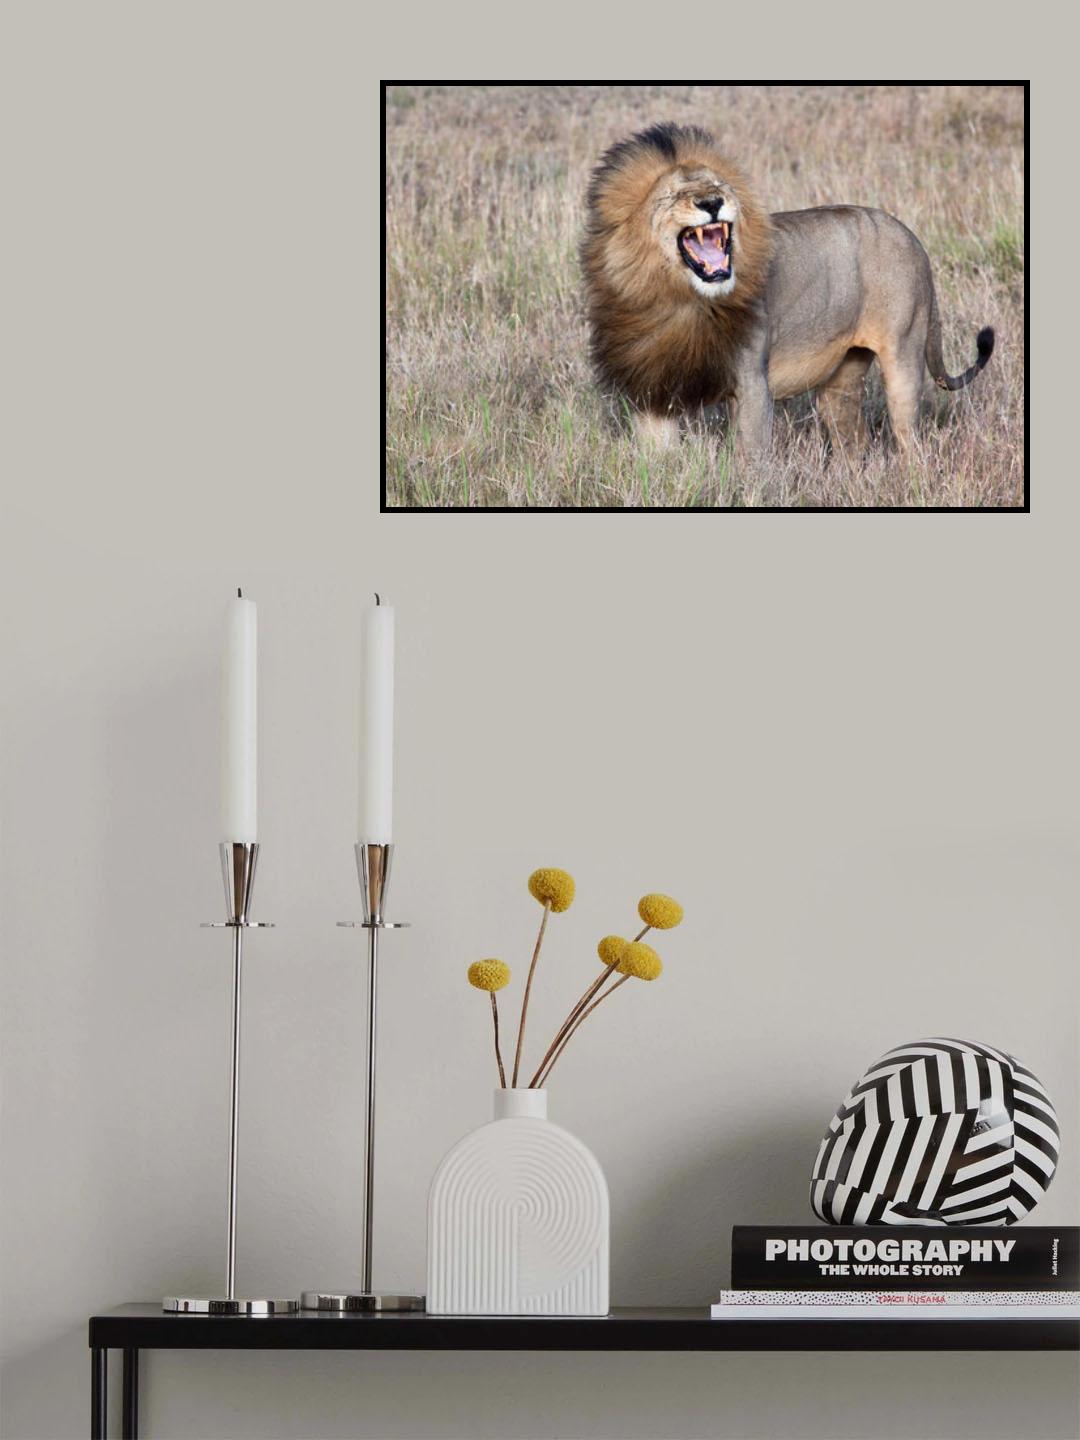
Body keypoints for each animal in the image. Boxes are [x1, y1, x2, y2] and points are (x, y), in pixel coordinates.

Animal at [581, 123, 994, 457]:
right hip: (842, 379)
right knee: (854, 442)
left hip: (903, 355)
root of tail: (911, 236)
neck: (678, 298)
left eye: (717, 187)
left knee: (911, 441)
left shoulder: (752, 384)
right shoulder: (651, 392)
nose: (712, 202)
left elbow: (751, 462)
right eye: (672, 195)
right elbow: (659, 462)